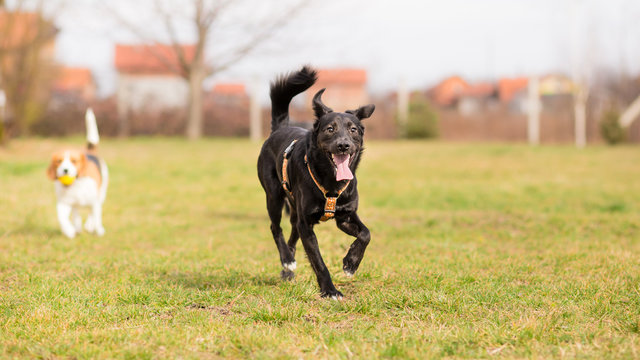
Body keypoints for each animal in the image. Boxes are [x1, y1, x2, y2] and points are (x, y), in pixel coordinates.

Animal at [256, 67, 376, 298]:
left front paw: (351, 263)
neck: (330, 182)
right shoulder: (307, 225)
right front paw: (330, 290)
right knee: (276, 228)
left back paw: (288, 269)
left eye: (353, 130)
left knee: (291, 235)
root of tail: (279, 129)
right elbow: (318, 261)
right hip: (273, 197)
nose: (343, 145)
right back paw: (287, 260)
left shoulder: (345, 217)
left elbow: (366, 234)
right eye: (330, 129)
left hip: (294, 211)